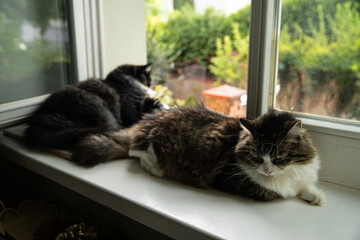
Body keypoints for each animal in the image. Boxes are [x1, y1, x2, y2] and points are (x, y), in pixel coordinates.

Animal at [25, 63, 165, 165]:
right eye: (148, 79)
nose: (150, 85)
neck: (121, 81)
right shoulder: (130, 111)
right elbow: (140, 114)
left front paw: (157, 104)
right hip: (99, 108)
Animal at [73, 106, 326, 205]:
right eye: (256, 158)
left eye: (278, 158)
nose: (268, 170)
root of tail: (149, 119)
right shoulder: (232, 178)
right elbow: (274, 192)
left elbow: (305, 185)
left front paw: (316, 195)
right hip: (155, 146)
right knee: (135, 153)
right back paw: (156, 170)